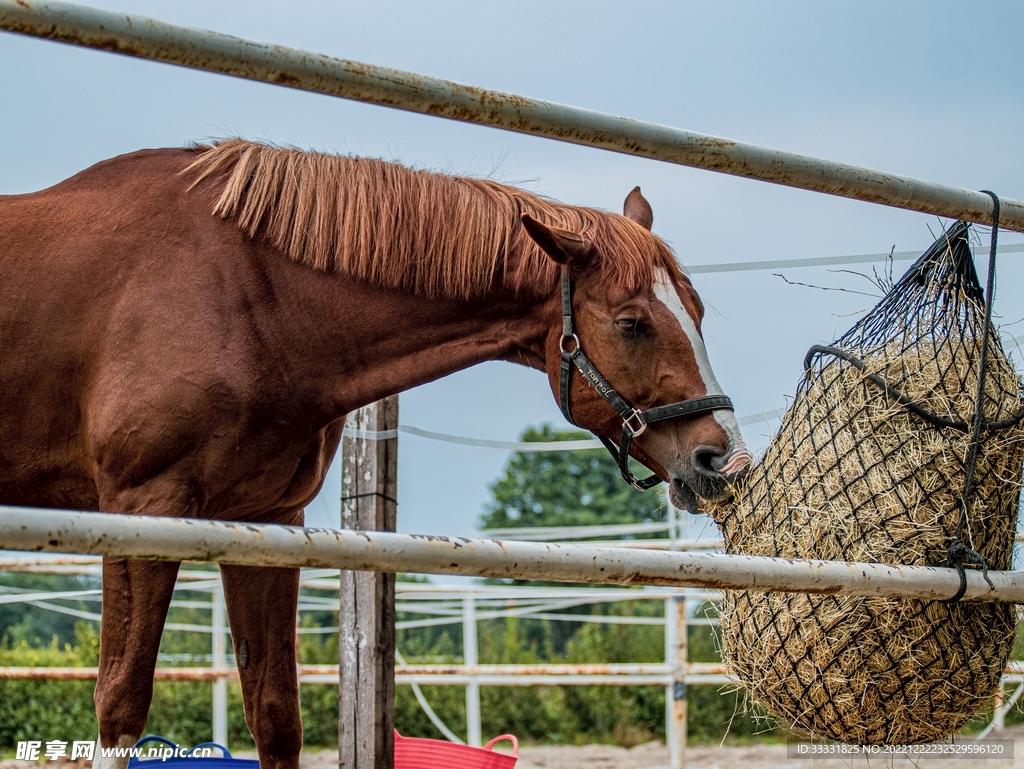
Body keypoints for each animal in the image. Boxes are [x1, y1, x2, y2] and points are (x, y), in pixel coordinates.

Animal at [0, 139, 750, 769]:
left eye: (697, 313)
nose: (723, 461)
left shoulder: (265, 523)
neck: (243, 294)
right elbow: (120, 703)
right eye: (632, 323)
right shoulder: (141, 509)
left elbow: (275, 714)